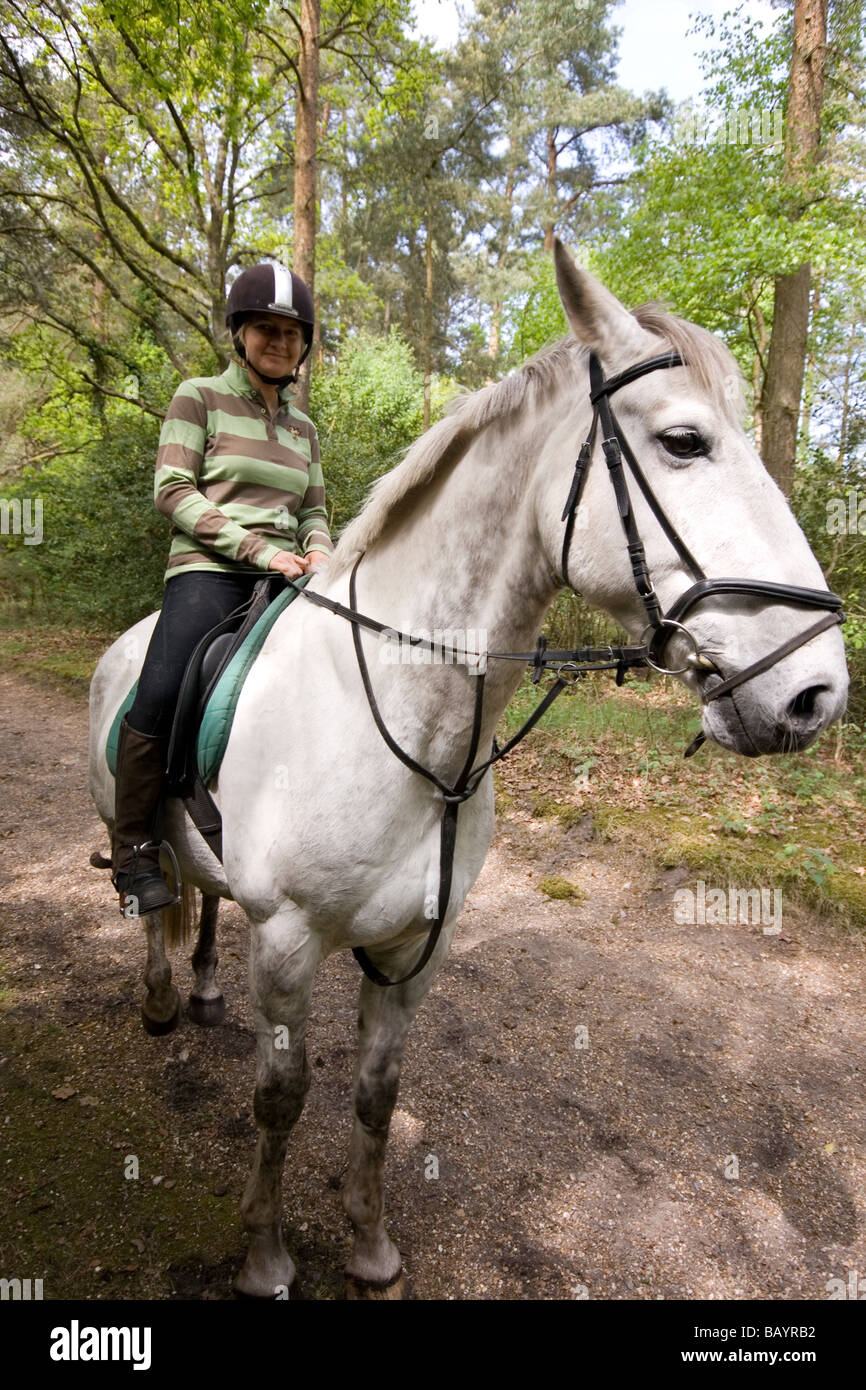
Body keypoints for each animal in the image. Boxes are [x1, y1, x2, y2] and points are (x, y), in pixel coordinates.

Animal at [88, 244, 845, 1295]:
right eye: (684, 441)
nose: (816, 692)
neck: (406, 723)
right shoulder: (285, 941)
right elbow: (280, 1098)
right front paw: (268, 1256)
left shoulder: (420, 946)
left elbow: (376, 1095)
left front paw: (370, 1247)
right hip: (135, 820)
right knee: (153, 883)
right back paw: (163, 996)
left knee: (200, 896)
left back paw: (198, 990)